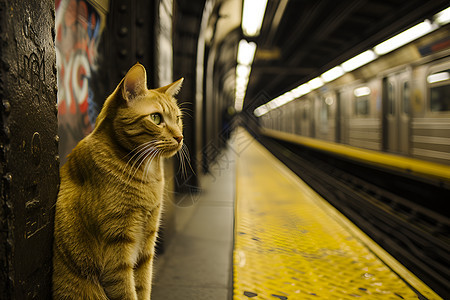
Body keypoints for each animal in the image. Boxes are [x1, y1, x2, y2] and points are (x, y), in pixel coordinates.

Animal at [53, 63, 185, 300]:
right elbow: (126, 290)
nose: (180, 137)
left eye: (178, 119)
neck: (147, 176)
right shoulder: (117, 249)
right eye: (156, 118)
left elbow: (142, 285)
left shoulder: (147, 243)